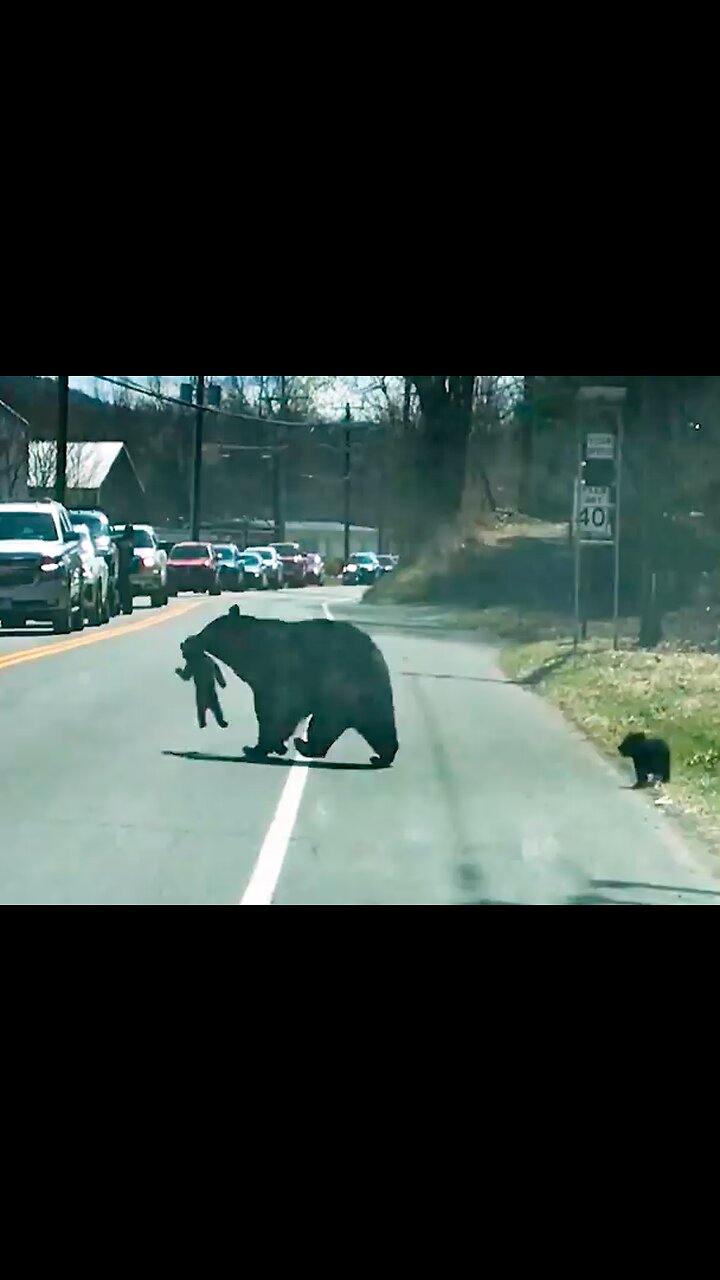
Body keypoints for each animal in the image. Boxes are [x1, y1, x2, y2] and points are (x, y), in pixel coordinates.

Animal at [180, 605, 399, 768]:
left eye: (206, 630)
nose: (186, 642)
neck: (251, 649)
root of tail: (378, 656)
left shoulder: (279, 672)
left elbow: (277, 710)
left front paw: (259, 747)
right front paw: (271, 746)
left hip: (342, 688)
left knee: (325, 724)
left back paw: (303, 744)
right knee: (377, 726)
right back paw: (382, 756)